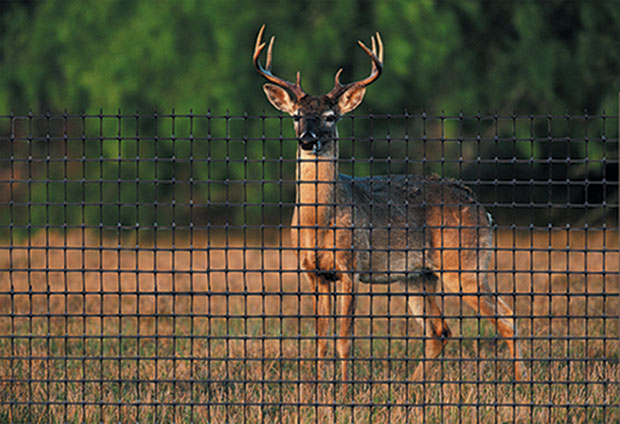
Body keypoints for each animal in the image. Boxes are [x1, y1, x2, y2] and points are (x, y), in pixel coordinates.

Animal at [253, 25, 528, 384]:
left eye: (330, 117)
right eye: (297, 116)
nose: (307, 140)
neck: (320, 219)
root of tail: (483, 209)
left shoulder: (351, 266)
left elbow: (344, 339)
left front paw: (344, 390)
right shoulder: (313, 272)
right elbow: (321, 340)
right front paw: (317, 388)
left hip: (465, 265)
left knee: (507, 317)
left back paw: (522, 380)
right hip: (417, 276)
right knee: (440, 330)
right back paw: (411, 386)